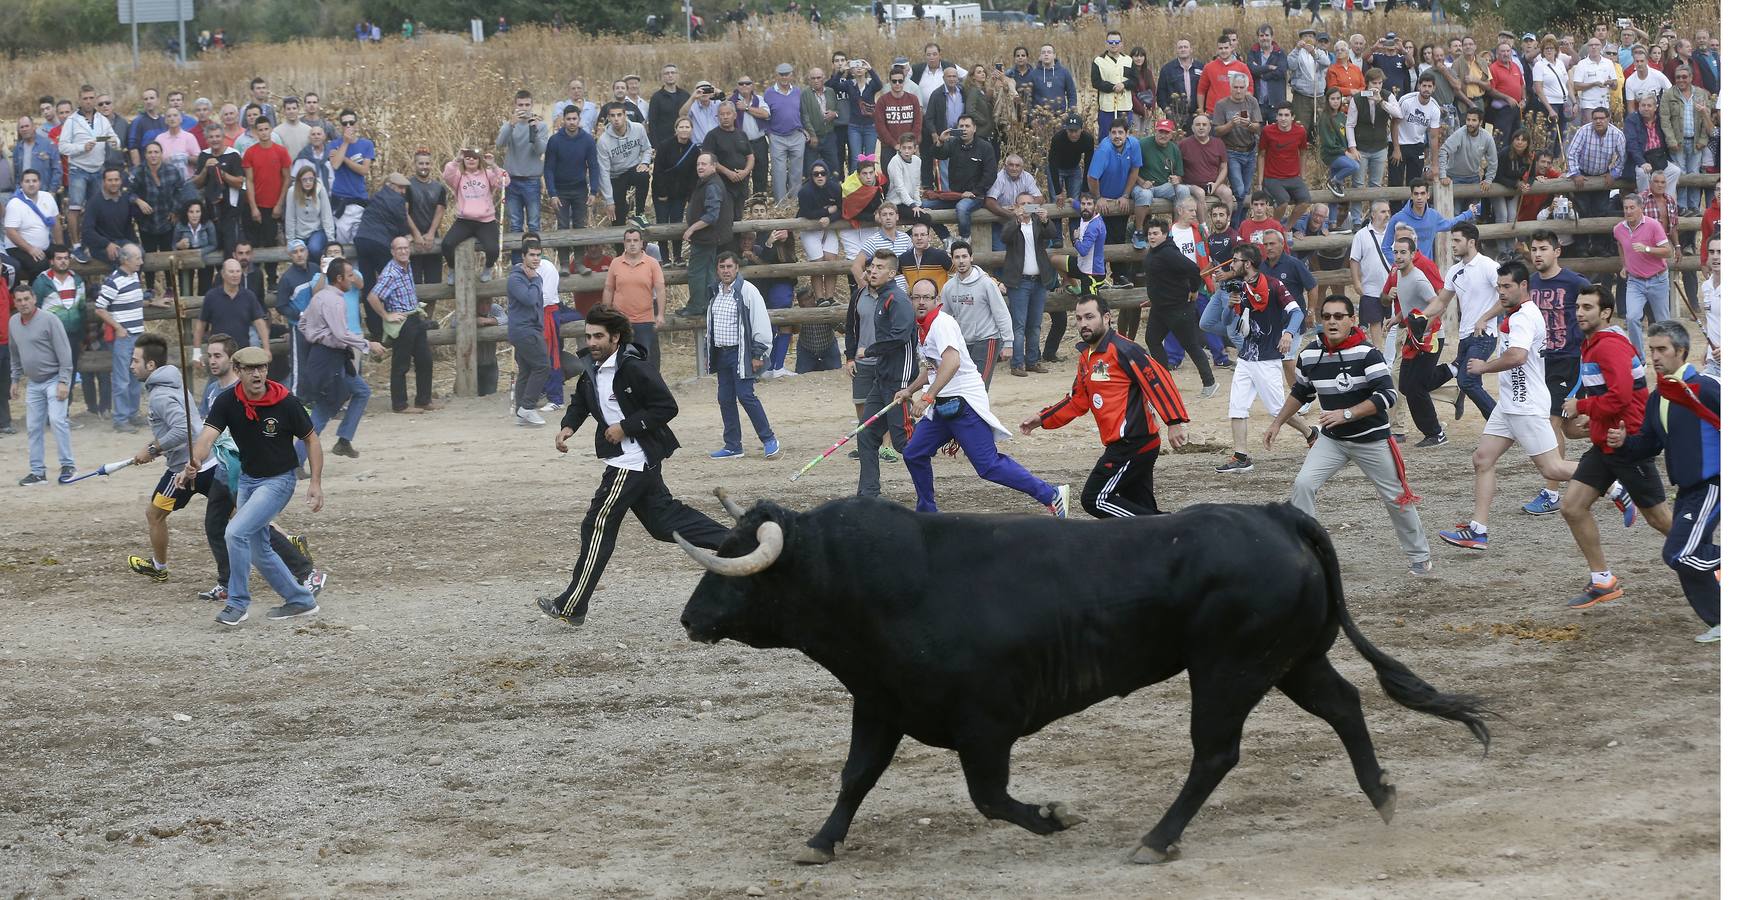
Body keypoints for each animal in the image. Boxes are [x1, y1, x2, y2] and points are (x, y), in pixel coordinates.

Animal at [672, 490, 1491, 863]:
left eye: (738, 567)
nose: (689, 618)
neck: (876, 584)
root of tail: (1275, 514)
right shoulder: (878, 705)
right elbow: (855, 777)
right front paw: (820, 841)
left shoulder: (986, 724)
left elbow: (990, 797)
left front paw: (1055, 816)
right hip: (1291, 660)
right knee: (1345, 704)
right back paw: (1383, 796)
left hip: (1228, 669)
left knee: (1215, 752)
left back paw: (1156, 840)